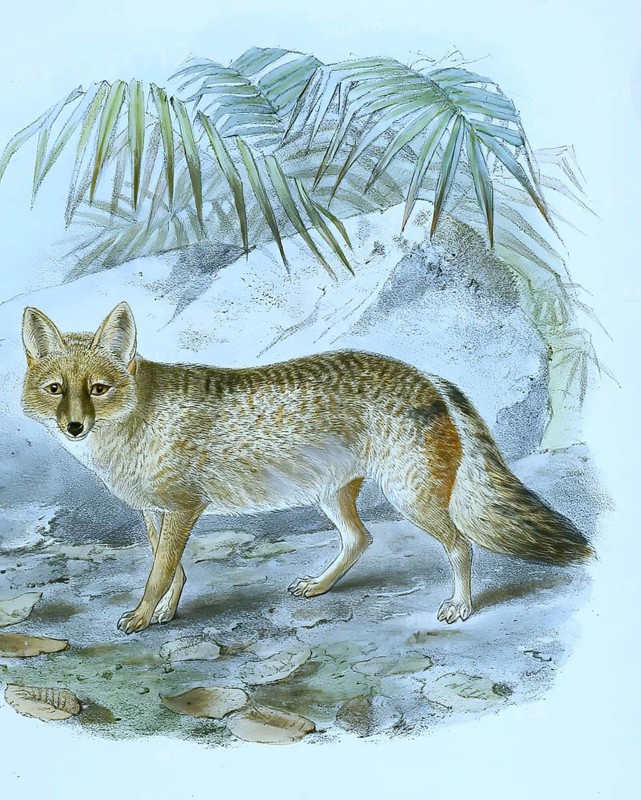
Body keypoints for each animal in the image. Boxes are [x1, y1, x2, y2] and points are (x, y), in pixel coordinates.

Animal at [20, 301, 593, 634]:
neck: (135, 423)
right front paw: (164, 612)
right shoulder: (154, 511)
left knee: (460, 546)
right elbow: (171, 568)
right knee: (360, 539)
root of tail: (427, 376)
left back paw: (460, 606)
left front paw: (143, 615)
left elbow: (159, 571)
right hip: (332, 497)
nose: (75, 426)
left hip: (410, 500)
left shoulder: (184, 508)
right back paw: (319, 586)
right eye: (56, 390)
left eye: (98, 389)